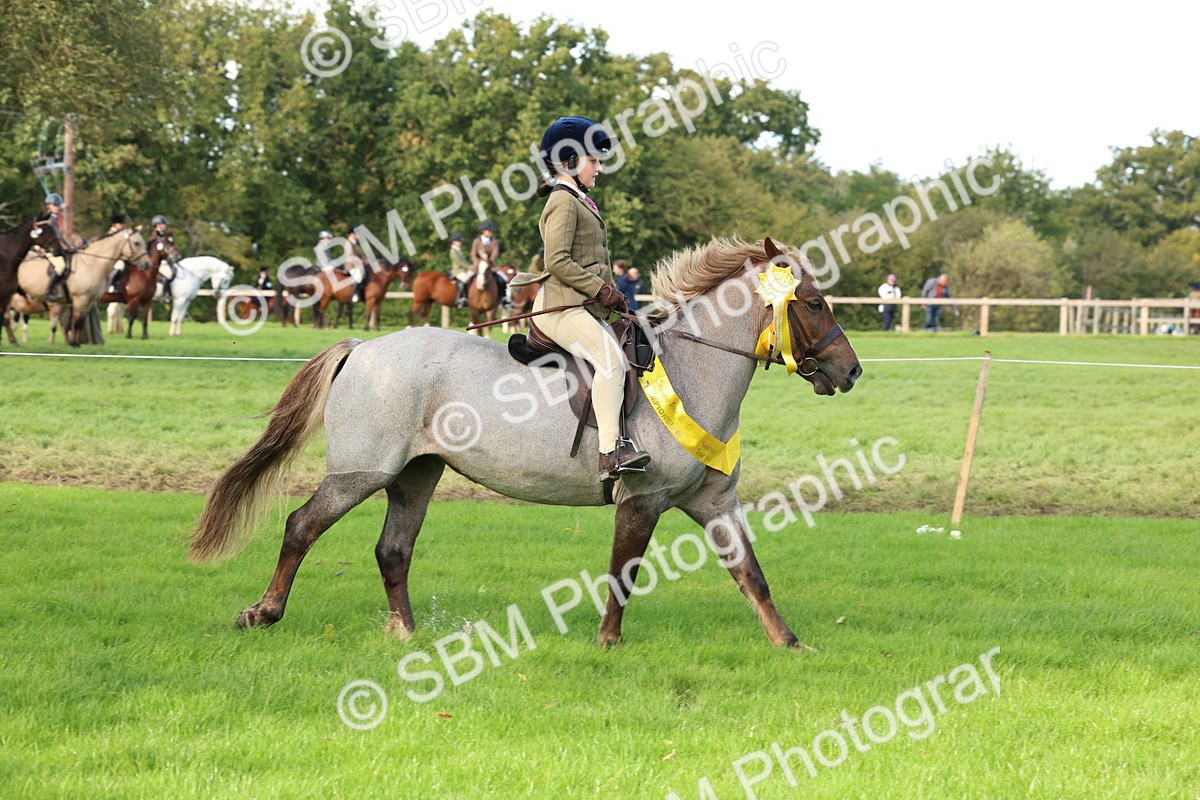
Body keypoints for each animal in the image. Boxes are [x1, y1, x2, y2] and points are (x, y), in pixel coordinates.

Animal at [17, 227, 151, 347]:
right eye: (137, 243)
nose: (147, 264)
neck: (90, 263)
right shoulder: (80, 300)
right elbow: (74, 321)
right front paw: (73, 343)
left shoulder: (89, 301)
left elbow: (80, 323)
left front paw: (76, 343)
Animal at [188, 236, 862, 649]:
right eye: (813, 302)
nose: (850, 371)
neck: (696, 370)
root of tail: (364, 348)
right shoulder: (641, 499)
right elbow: (624, 572)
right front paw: (608, 642)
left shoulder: (713, 502)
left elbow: (751, 573)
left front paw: (789, 642)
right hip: (361, 473)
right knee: (302, 526)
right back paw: (263, 612)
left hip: (416, 474)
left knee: (393, 550)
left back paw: (405, 633)